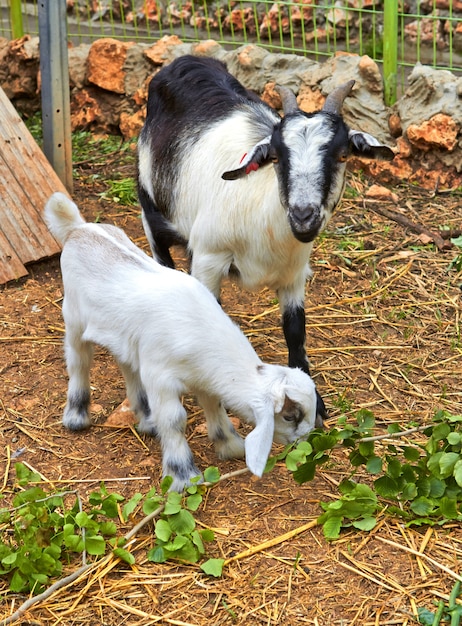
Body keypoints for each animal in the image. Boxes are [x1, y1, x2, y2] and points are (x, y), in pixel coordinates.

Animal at [44, 193, 318, 490]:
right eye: (289, 416)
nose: (306, 441)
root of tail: (79, 229)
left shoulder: (203, 378)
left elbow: (214, 405)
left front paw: (230, 445)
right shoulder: (160, 377)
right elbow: (175, 420)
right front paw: (183, 475)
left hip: (124, 337)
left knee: (127, 365)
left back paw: (146, 419)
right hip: (73, 316)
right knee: (78, 361)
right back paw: (76, 416)